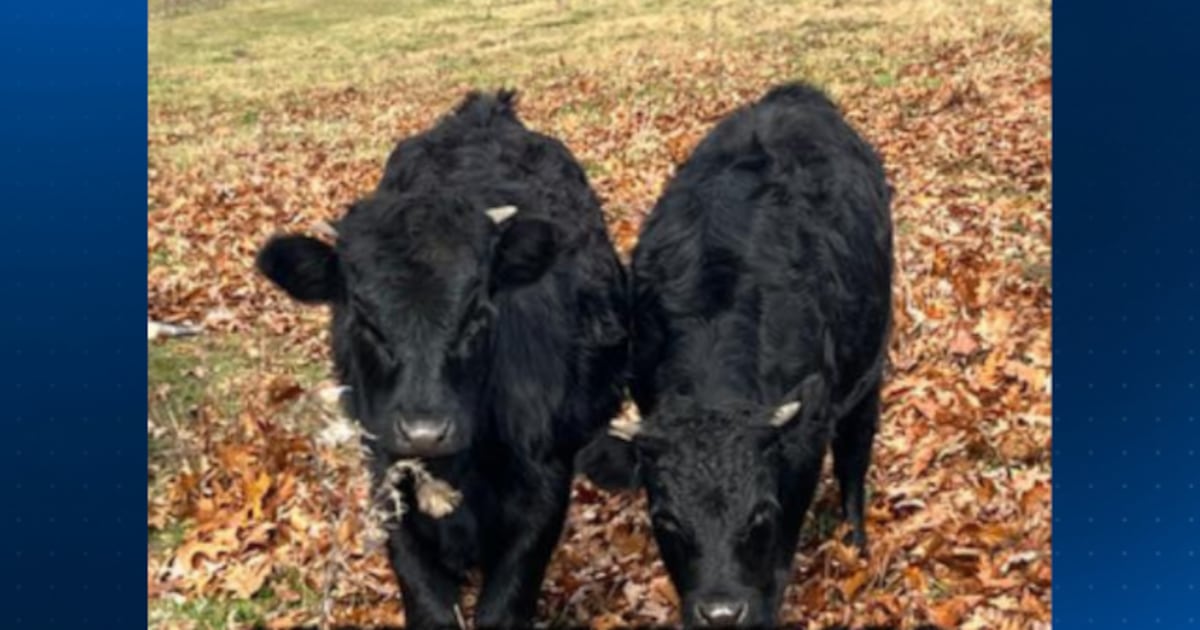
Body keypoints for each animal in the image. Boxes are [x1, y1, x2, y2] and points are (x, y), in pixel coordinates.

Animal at [255, 91, 629, 628]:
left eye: (478, 312)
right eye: (363, 318)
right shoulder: (386, 479)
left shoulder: (544, 488)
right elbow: (429, 603)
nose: (425, 431)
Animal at [608, 83, 893, 627]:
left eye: (760, 512)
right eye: (666, 520)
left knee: (854, 457)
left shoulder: (805, 438)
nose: (721, 612)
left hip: (869, 373)